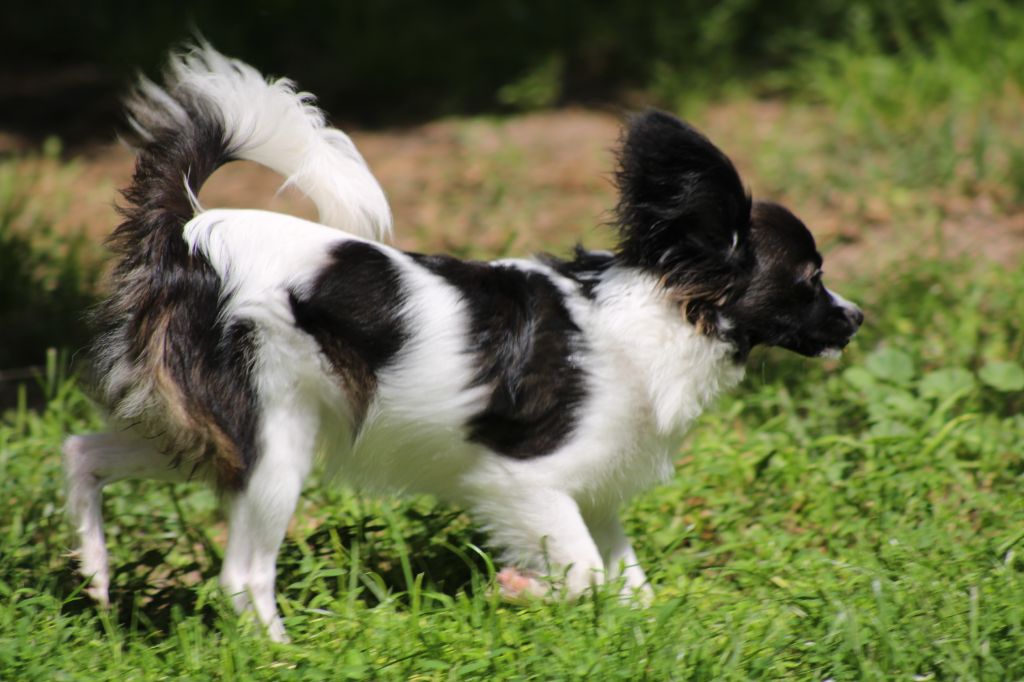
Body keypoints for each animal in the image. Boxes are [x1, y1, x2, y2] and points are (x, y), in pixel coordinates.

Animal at [63, 44, 862, 642]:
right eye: (810, 280)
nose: (856, 318)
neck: (661, 313)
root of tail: (191, 236)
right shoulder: (523, 480)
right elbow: (584, 575)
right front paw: (519, 590)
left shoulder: (594, 488)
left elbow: (628, 582)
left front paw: (640, 626)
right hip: (271, 446)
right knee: (242, 576)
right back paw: (282, 654)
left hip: (212, 433)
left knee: (83, 449)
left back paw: (94, 569)